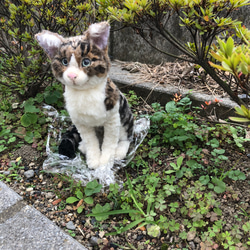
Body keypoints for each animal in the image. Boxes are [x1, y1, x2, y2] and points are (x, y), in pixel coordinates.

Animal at [35, 22, 134, 170]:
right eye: (64, 62)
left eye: (86, 62)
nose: (71, 75)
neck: (84, 92)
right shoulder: (80, 122)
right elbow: (91, 141)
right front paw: (93, 160)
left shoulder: (112, 119)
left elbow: (109, 143)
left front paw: (105, 163)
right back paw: (83, 147)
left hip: (126, 117)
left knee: (126, 136)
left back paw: (120, 151)